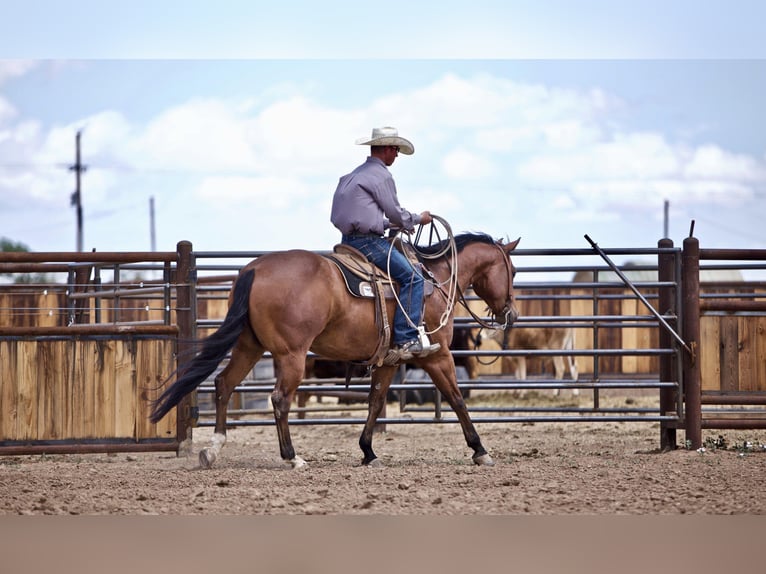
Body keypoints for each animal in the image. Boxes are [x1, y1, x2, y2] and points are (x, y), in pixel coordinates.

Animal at [150, 232, 520, 470]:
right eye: (513, 271)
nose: (511, 315)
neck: (436, 280)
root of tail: (253, 269)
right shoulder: (435, 355)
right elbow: (457, 399)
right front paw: (480, 450)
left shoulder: (389, 361)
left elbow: (375, 402)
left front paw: (368, 451)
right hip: (292, 355)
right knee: (280, 399)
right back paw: (292, 457)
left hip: (248, 346)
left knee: (224, 384)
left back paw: (213, 450)